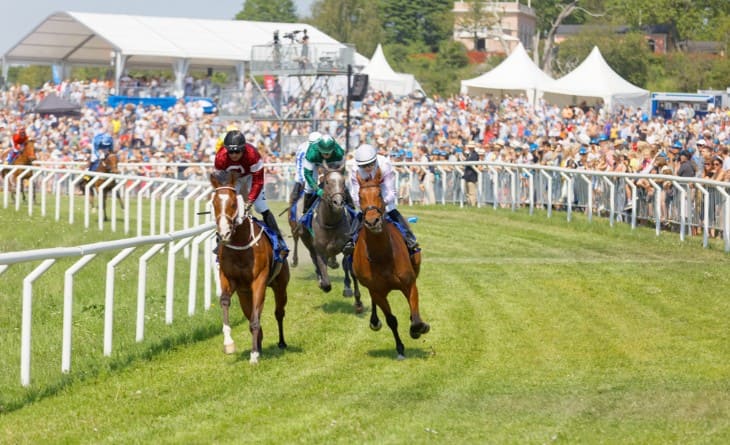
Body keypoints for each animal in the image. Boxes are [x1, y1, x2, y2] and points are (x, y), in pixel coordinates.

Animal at [209, 168, 288, 362]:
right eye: (214, 203)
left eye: (232, 203)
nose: (224, 233)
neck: (240, 242)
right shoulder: (228, 278)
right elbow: (225, 301)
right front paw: (229, 344)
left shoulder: (259, 281)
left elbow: (255, 319)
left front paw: (253, 355)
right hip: (244, 294)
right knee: (251, 313)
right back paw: (258, 345)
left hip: (280, 285)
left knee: (279, 313)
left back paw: (281, 342)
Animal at [296, 161, 362, 310]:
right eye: (327, 182)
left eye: (343, 182)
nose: (338, 203)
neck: (330, 223)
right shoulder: (320, 251)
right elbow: (325, 278)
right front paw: (323, 283)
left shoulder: (347, 247)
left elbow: (350, 269)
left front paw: (356, 299)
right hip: (307, 242)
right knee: (314, 259)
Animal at [352, 166, 430, 358]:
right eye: (359, 196)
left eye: (379, 193)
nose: (372, 221)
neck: (382, 256)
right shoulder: (378, 292)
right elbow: (391, 320)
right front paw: (400, 348)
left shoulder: (409, 283)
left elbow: (415, 315)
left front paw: (418, 328)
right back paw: (374, 321)